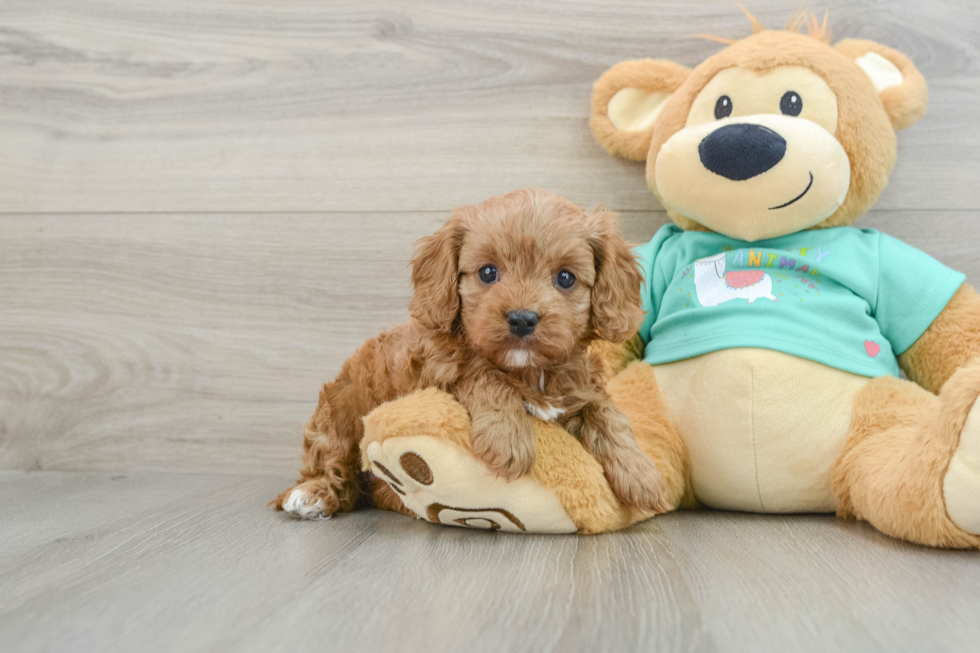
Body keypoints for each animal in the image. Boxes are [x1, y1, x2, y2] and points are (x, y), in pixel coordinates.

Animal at [280, 190, 668, 520]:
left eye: (566, 278)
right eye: (488, 272)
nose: (522, 318)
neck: (529, 370)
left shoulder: (581, 390)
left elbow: (609, 416)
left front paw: (642, 475)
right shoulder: (438, 373)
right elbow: (484, 376)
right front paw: (508, 438)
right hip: (339, 414)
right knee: (330, 463)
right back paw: (311, 495)